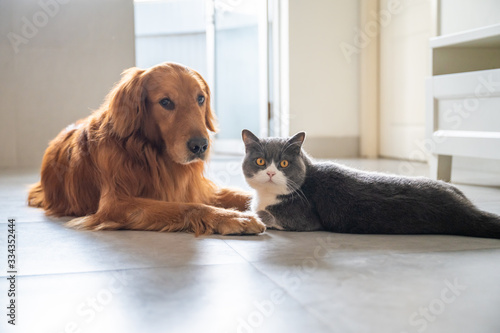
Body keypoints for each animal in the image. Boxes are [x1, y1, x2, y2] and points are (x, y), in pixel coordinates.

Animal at [28, 61, 266, 233]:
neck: (150, 155)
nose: (200, 146)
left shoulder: (198, 188)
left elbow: (243, 194)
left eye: (200, 98)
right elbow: (187, 206)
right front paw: (233, 217)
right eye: (166, 102)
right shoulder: (116, 204)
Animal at [241, 130, 500, 239]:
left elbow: (263, 213)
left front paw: (250, 217)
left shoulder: (304, 217)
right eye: (261, 161)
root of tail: (467, 210)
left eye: (283, 163)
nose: (271, 172)